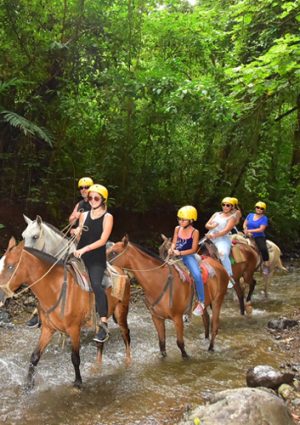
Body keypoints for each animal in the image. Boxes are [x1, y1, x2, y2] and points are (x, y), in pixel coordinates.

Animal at [0, 237, 130, 390]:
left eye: (10, 266)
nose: (0, 294)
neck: (56, 290)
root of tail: (122, 271)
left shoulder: (74, 329)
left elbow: (75, 358)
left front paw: (78, 383)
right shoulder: (48, 329)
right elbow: (35, 356)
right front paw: (28, 385)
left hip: (121, 312)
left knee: (125, 334)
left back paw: (128, 361)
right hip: (100, 323)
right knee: (100, 342)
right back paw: (97, 367)